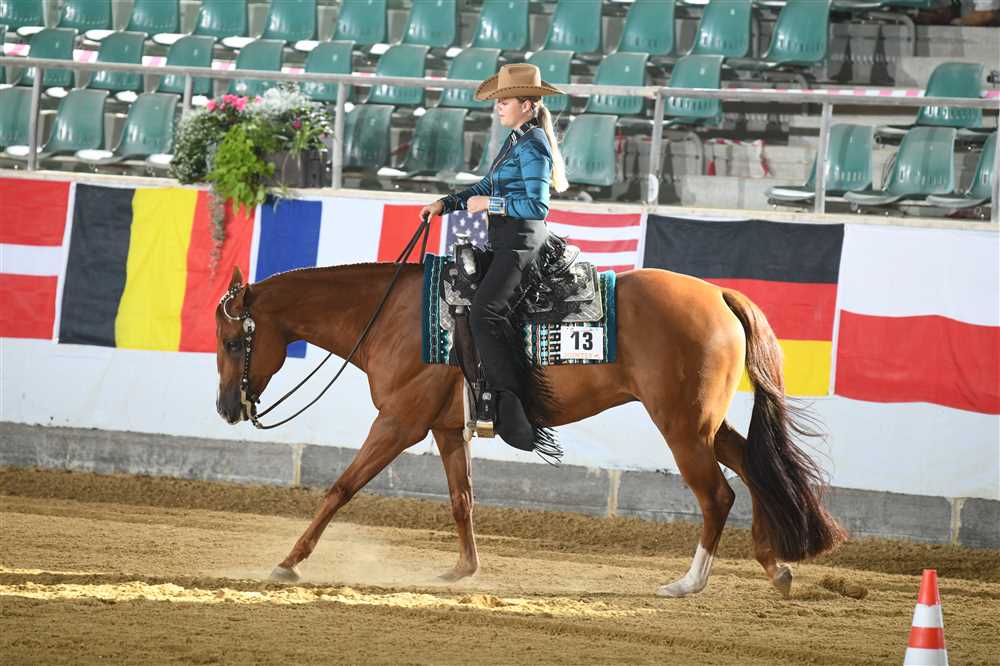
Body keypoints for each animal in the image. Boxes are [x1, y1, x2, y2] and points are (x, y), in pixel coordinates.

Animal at [215, 261, 845, 597]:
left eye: (231, 341)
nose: (225, 408)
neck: (393, 316)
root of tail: (718, 292)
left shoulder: (397, 423)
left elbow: (340, 488)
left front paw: (289, 561)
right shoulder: (447, 429)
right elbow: (462, 500)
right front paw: (463, 570)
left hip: (682, 425)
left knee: (717, 494)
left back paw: (688, 583)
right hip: (705, 424)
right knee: (755, 469)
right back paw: (775, 566)